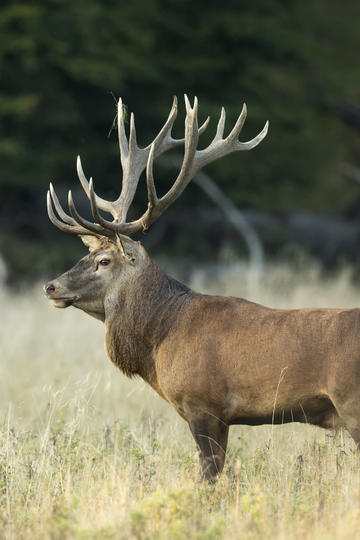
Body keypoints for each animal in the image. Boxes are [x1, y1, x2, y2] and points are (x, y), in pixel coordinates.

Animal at [43, 96, 360, 480]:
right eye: (86, 254)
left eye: (104, 261)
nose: (51, 286)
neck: (162, 336)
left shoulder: (203, 403)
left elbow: (208, 475)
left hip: (352, 402)